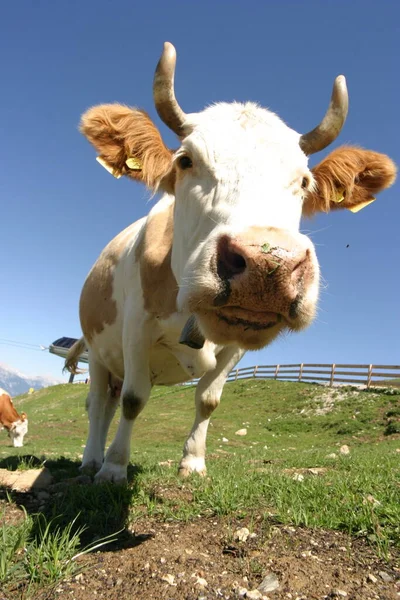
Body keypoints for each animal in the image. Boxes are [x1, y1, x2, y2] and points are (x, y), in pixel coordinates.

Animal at [64, 41, 396, 482]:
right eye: (185, 161)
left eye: (304, 181)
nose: (267, 266)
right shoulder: (136, 327)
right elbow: (136, 399)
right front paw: (115, 468)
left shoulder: (237, 348)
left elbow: (208, 400)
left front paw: (193, 462)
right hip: (100, 351)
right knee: (100, 403)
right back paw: (92, 459)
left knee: (112, 400)